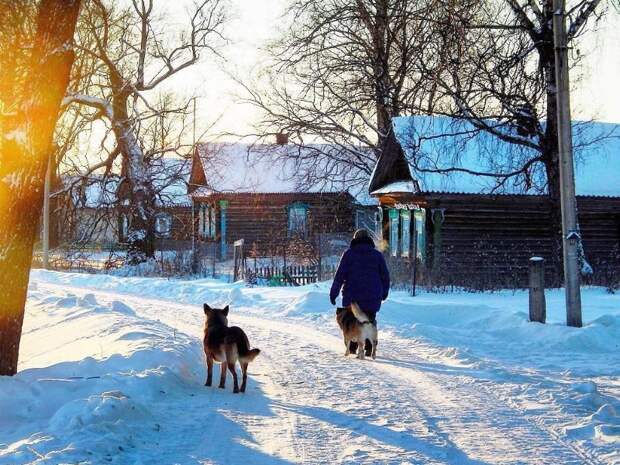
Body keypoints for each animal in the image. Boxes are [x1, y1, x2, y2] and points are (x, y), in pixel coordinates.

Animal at [330, 228, 388, 356]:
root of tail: (367, 321)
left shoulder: (347, 337)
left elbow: (348, 345)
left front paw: (348, 353)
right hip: (373, 336)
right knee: (373, 345)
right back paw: (371, 355)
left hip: (362, 337)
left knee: (361, 346)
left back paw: (360, 356)